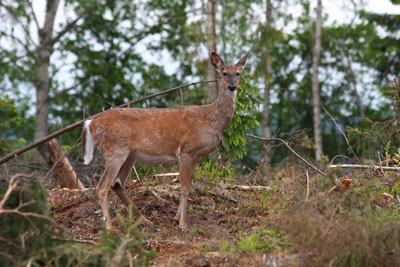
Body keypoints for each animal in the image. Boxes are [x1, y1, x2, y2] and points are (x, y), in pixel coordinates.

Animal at [81, 50, 250, 230]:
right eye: (224, 73)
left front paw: (176, 218)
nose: (232, 86)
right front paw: (183, 223)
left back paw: (145, 220)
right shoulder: (186, 150)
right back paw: (110, 227)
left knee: (117, 184)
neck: (212, 122)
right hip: (115, 150)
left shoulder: (196, 155)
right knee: (102, 187)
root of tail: (90, 123)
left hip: (129, 154)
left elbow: (189, 185)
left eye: (238, 73)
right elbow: (184, 187)